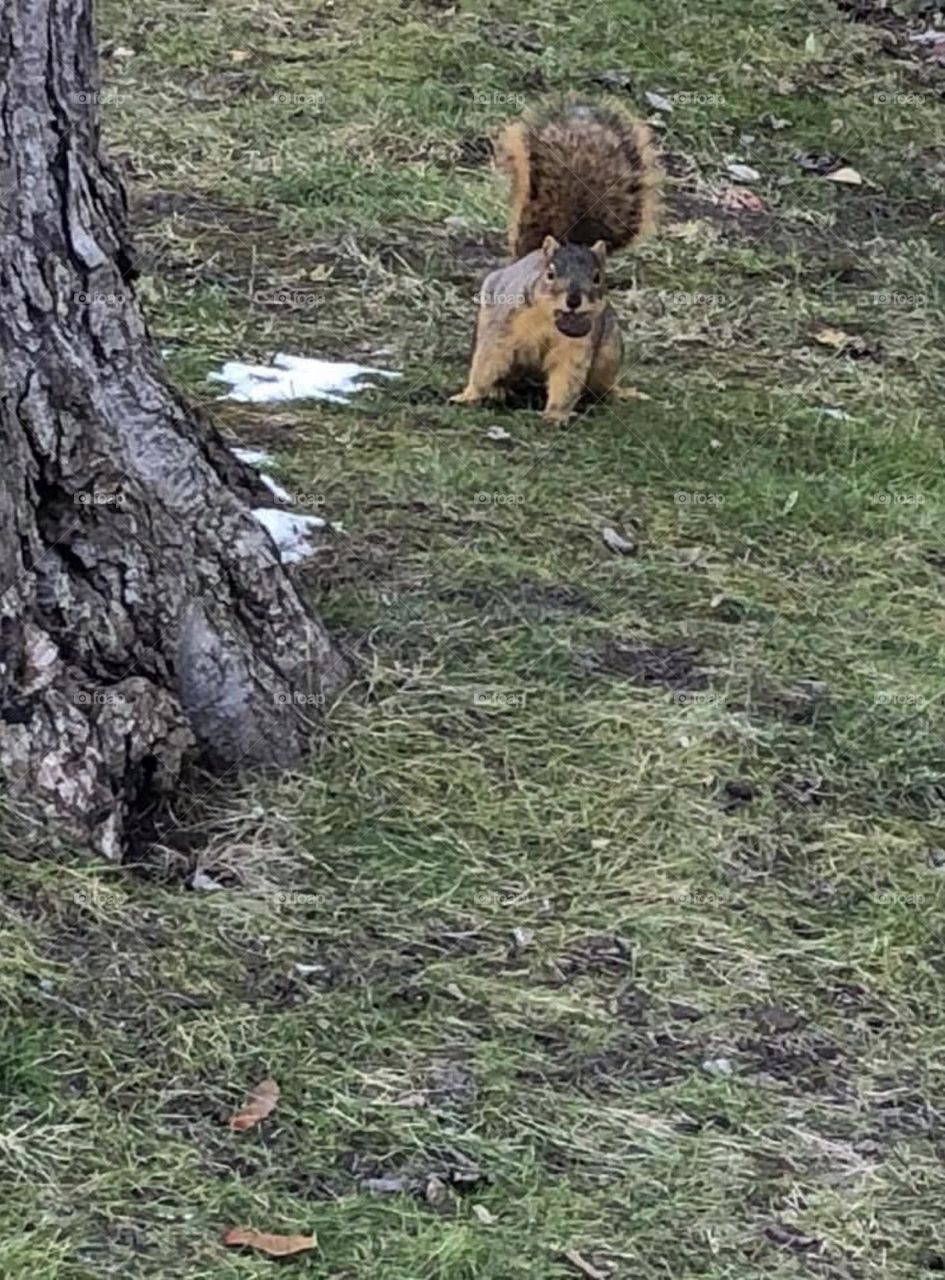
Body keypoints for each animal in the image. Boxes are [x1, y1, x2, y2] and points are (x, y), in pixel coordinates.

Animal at [450, 100, 661, 424]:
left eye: (598, 277)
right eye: (550, 273)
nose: (573, 300)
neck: (549, 317)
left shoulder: (578, 345)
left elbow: (567, 380)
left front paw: (556, 415)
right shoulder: (501, 329)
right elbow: (487, 363)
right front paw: (470, 395)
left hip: (609, 351)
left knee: (603, 386)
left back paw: (622, 393)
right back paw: (498, 391)